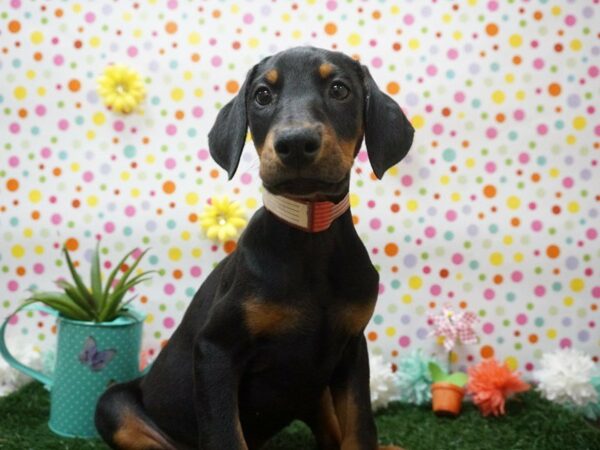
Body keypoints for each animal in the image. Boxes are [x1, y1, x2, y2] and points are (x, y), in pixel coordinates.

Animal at [96, 46, 414, 450]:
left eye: (340, 90)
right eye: (262, 95)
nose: (295, 143)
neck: (308, 231)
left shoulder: (352, 349)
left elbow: (360, 428)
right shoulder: (215, 350)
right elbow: (225, 435)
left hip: (313, 390)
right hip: (114, 404)